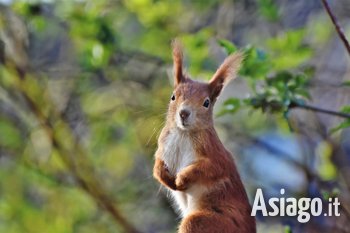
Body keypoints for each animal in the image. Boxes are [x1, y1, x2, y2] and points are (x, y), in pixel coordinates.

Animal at [154, 40, 256, 233]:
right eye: (173, 96)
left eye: (206, 103)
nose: (184, 113)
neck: (183, 133)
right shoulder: (163, 145)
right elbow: (157, 165)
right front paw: (163, 175)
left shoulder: (215, 154)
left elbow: (210, 168)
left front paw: (182, 178)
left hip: (213, 222)